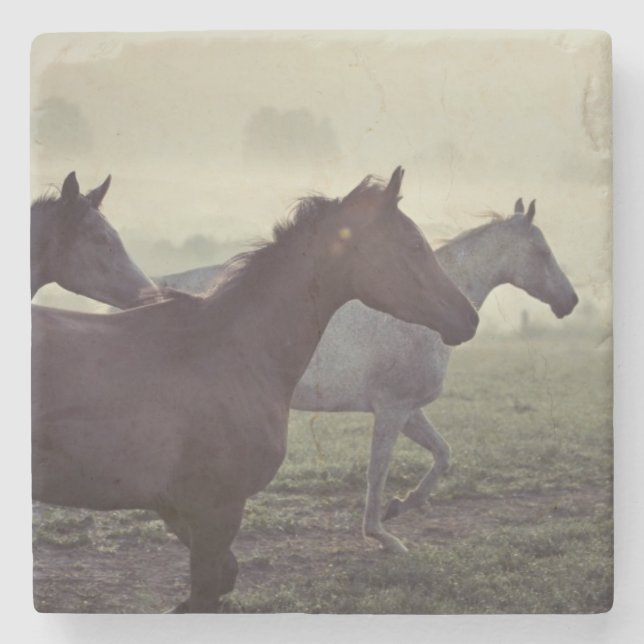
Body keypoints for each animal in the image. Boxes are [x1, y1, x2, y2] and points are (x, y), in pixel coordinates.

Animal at [154, 198, 579, 554]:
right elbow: (379, 471)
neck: (418, 314)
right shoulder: (392, 409)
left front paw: (403, 505)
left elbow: (442, 454)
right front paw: (383, 535)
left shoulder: (409, 411)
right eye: (542, 252)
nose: (570, 301)